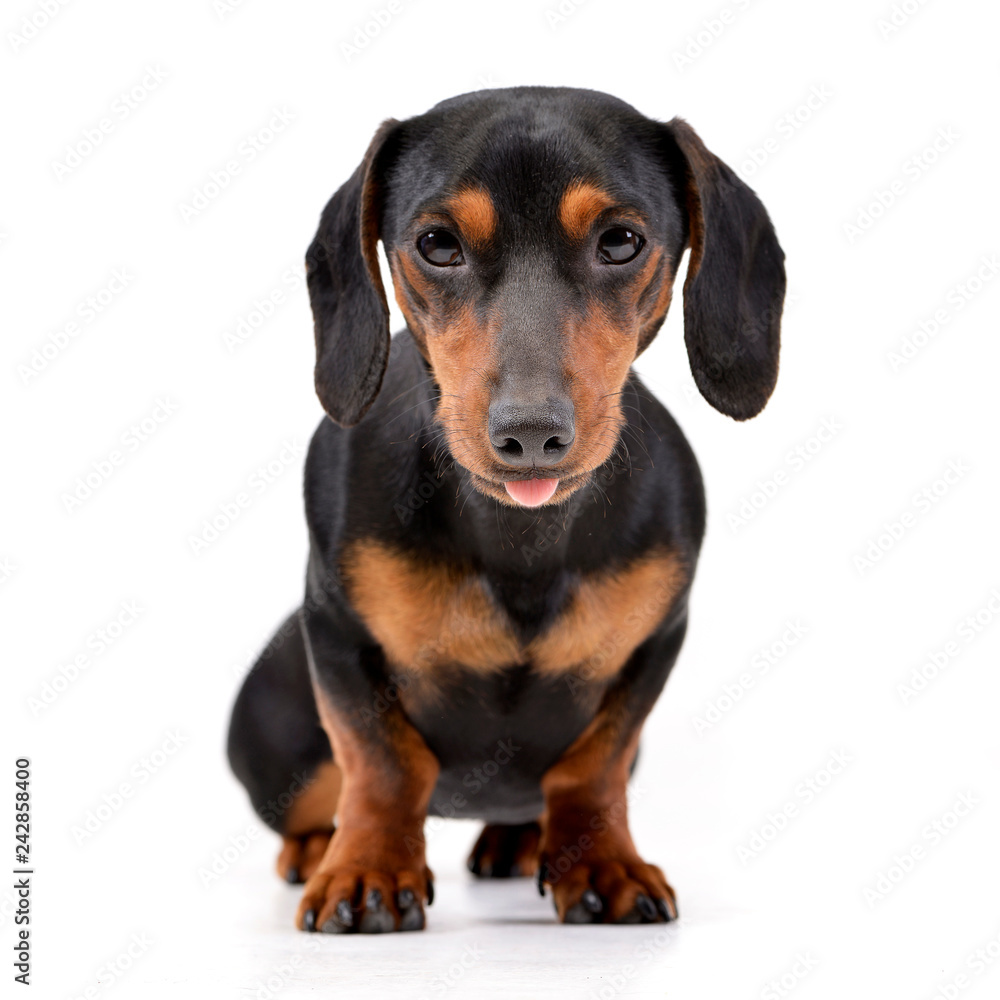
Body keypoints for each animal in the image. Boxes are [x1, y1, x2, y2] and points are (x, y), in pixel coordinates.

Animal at [229, 84, 788, 928]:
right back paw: (317, 848)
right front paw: (366, 871)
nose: (530, 434)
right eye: (437, 244)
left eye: (621, 242)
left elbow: (593, 767)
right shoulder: (337, 633)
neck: (523, 539)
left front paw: (602, 863)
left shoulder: (653, 647)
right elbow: (382, 762)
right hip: (275, 744)